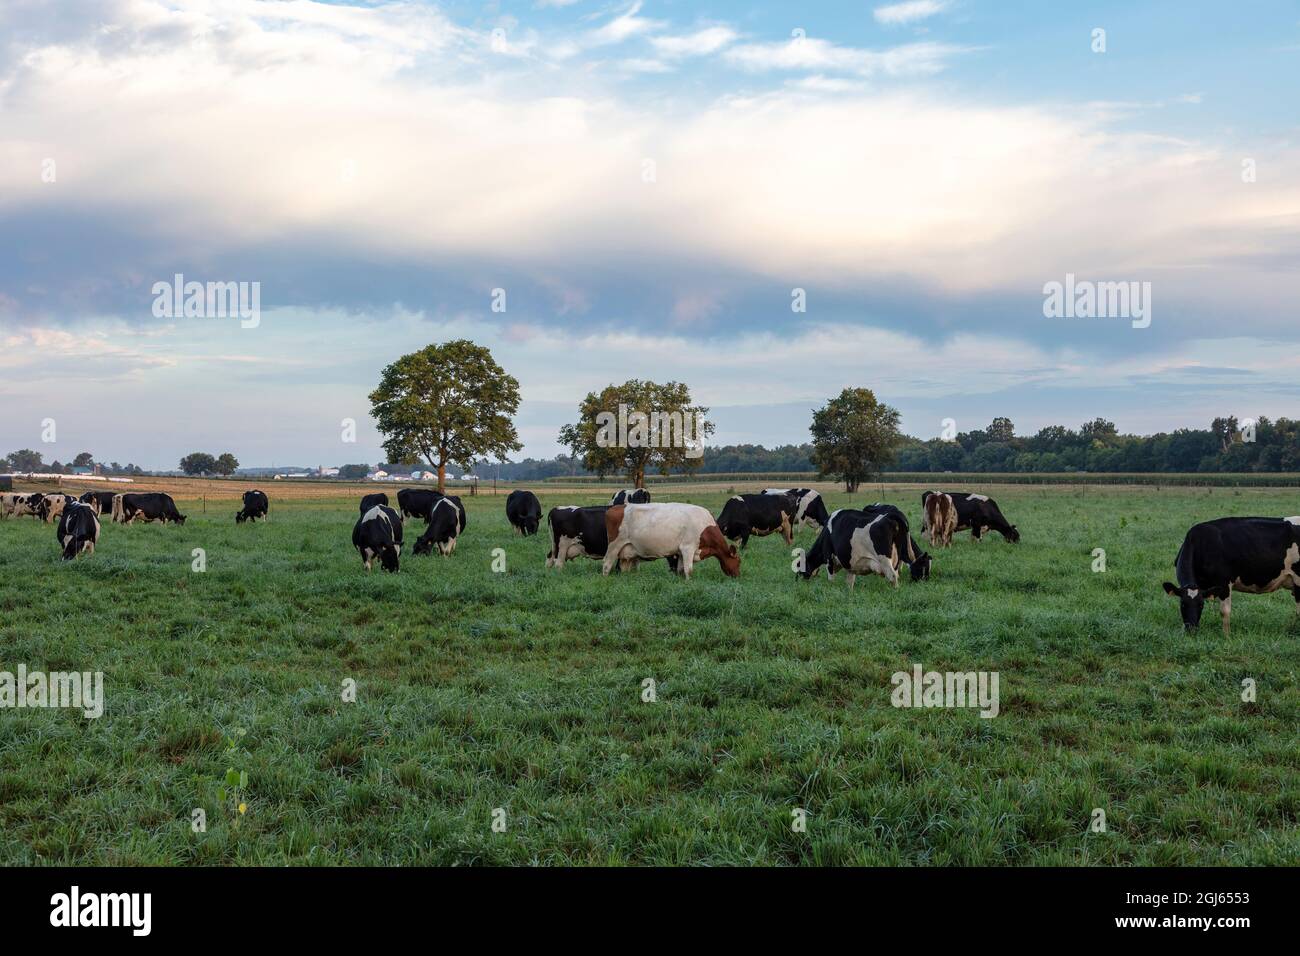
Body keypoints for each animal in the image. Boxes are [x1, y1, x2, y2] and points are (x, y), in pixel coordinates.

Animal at [600, 504, 743, 580]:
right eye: (739, 562)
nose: (738, 576)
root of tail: (617, 507)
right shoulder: (688, 548)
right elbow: (689, 570)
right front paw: (689, 582)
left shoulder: (680, 552)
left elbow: (681, 570)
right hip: (614, 545)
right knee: (607, 564)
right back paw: (605, 579)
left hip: (626, 551)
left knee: (623, 568)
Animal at [1164, 515, 1300, 634]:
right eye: (1182, 604)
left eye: (1201, 605)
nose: (1191, 629)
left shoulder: (1224, 583)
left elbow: (1225, 611)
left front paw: (1226, 636)